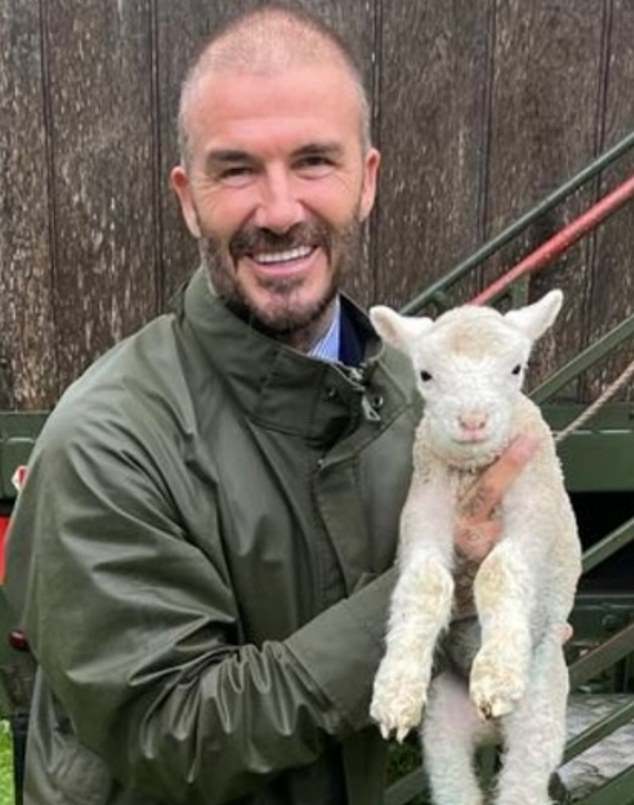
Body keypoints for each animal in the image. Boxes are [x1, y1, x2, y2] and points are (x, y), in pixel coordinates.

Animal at [368, 292, 580, 804]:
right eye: (425, 374)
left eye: (516, 368)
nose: (472, 421)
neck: (473, 469)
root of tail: (490, 731)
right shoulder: (423, 508)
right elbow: (425, 581)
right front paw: (395, 692)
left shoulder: (536, 509)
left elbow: (501, 569)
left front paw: (497, 674)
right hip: (442, 726)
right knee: (453, 783)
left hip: (541, 709)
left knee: (524, 785)